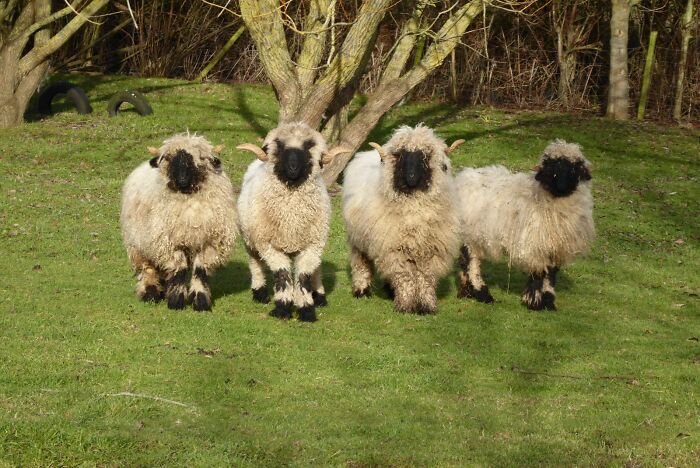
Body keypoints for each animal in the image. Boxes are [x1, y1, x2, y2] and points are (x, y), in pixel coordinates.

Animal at [120, 133, 238, 311]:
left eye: (200, 158)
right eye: (169, 158)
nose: (182, 180)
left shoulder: (208, 242)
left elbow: (200, 271)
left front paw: (200, 301)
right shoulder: (170, 242)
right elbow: (180, 270)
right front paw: (176, 301)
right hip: (139, 245)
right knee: (148, 269)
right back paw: (150, 293)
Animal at [236, 122, 349, 322]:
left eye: (309, 145)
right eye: (279, 145)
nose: (293, 167)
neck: (291, 217)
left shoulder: (313, 244)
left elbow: (304, 276)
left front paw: (306, 309)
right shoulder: (269, 245)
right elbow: (282, 275)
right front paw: (282, 308)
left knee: (316, 268)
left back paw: (319, 295)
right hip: (251, 240)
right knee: (255, 264)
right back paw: (260, 293)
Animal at [342, 124, 464, 314]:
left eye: (425, 156)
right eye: (400, 156)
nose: (411, 177)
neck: (414, 211)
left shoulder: (431, 250)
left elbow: (425, 278)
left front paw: (427, 306)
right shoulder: (395, 249)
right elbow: (405, 276)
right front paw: (406, 305)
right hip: (357, 239)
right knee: (360, 263)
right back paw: (362, 290)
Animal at [454, 139, 594, 310]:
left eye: (574, 168)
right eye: (550, 166)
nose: (561, 186)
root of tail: (462, 177)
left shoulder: (554, 247)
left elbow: (551, 274)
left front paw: (548, 302)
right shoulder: (535, 244)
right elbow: (539, 273)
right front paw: (534, 302)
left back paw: (466, 291)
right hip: (470, 234)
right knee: (472, 262)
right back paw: (482, 293)